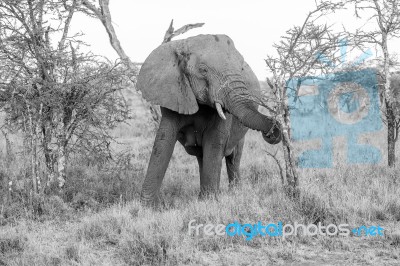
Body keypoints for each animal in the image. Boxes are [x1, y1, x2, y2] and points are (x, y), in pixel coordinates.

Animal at [138, 32, 282, 204]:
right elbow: (163, 141)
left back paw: (234, 192)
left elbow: (214, 142)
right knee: (202, 156)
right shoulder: (174, 93)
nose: (272, 132)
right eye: (203, 70)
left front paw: (209, 201)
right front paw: (148, 205)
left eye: (241, 69)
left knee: (234, 157)